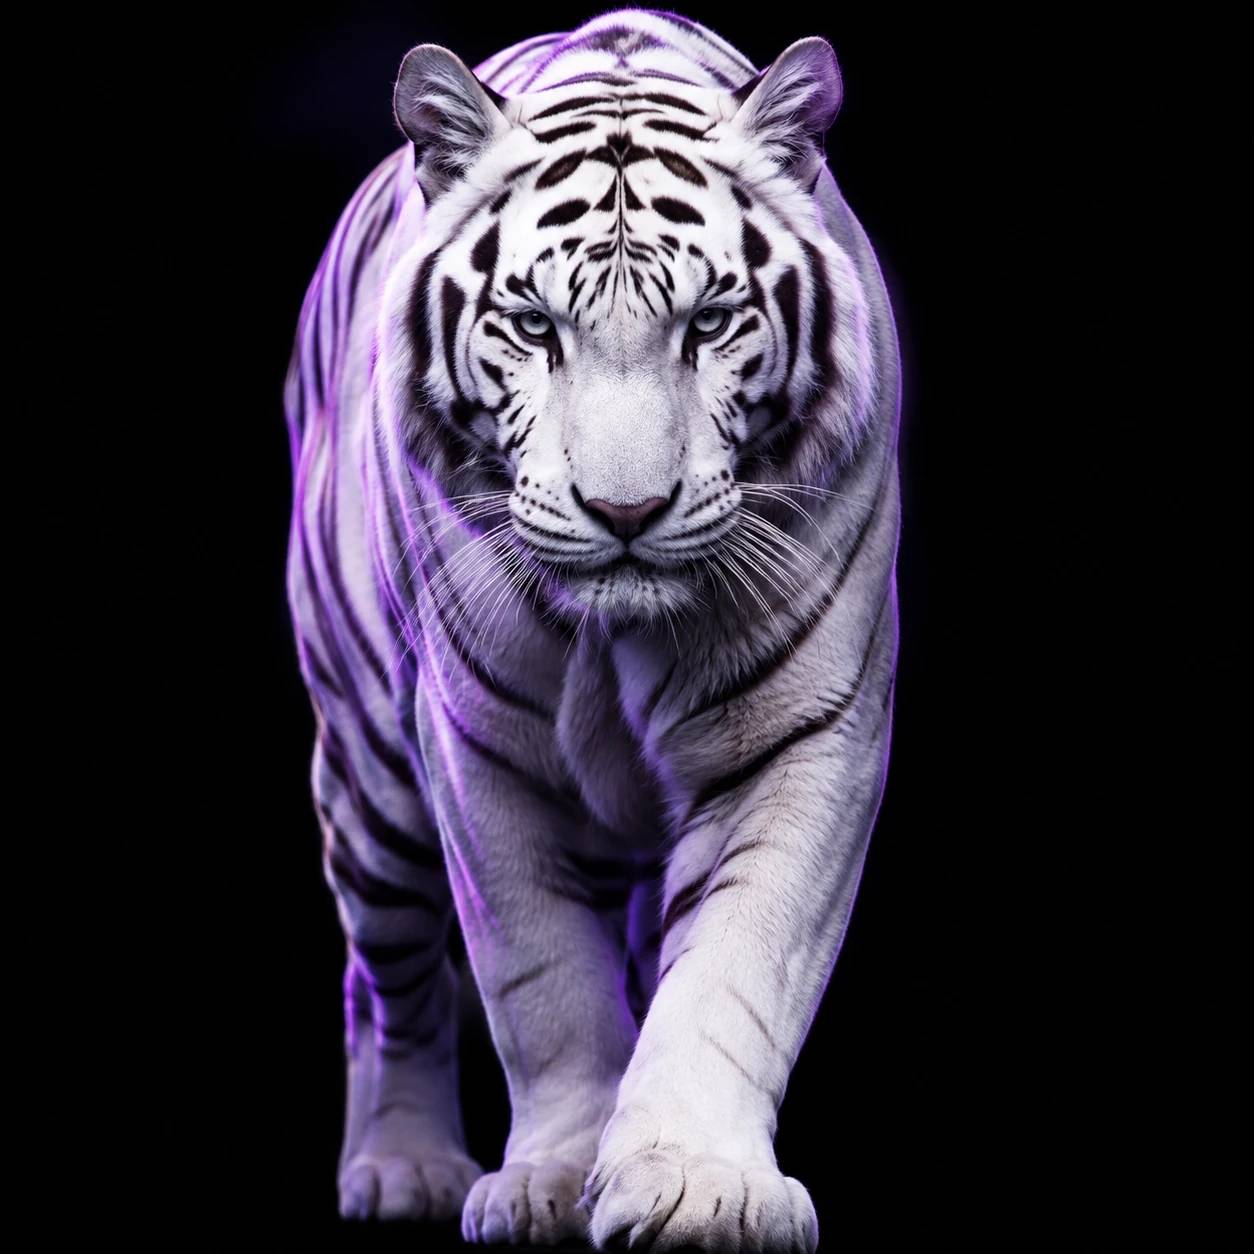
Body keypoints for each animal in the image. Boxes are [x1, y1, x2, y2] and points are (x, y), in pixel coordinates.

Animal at [284, 7, 901, 1250]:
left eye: (711, 323)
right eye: (533, 326)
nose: (626, 513)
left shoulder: (809, 732)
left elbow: (737, 968)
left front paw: (696, 1182)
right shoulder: (483, 753)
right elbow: (542, 984)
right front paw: (550, 1180)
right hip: (369, 783)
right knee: (388, 980)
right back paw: (400, 1165)